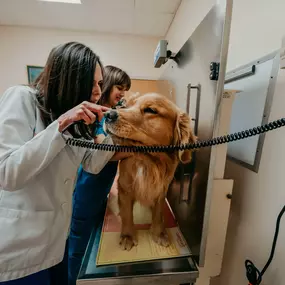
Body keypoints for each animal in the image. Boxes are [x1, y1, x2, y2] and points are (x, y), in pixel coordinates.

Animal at [104, 92, 195, 250]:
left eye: (151, 110)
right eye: (126, 106)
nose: (108, 114)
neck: (147, 160)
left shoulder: (161, 190)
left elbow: (158, 213)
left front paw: (159, 233)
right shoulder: (125, 188)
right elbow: (127, 213)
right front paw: (127, 235)